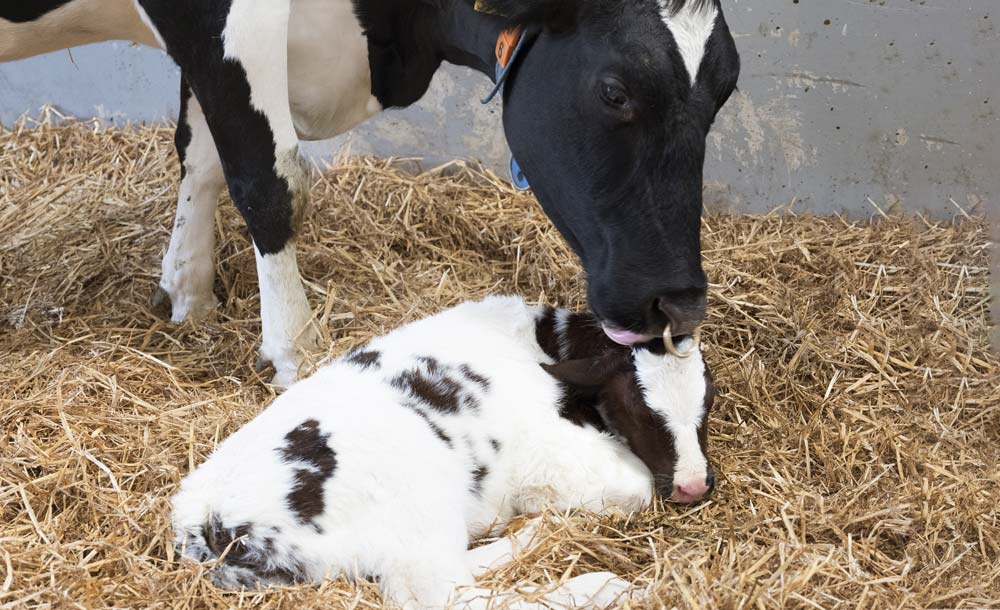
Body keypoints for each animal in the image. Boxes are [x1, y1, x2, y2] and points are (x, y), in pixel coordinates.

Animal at [0, 0, 740, 382]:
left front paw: (189, 295)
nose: (679, 305)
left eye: (727, 87)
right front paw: (295, 350)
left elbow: (201, 156)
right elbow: (268, 178)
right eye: (615, 91)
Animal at [174, 294, 720, 604]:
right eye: (639, 410)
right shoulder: (558, 454)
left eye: (708, 400)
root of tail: (205, 523)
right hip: (416, 517)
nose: (694, 486)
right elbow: (637, 486)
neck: (539, 342)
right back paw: (603, 585)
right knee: (450, 596)